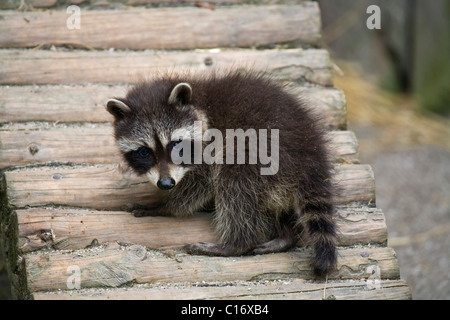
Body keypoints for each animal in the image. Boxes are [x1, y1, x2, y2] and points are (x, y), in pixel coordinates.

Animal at [105, 70, 338, 278]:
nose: (166, 184)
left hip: (261, 152)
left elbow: (198, 188)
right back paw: (286, 235)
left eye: (176, 144)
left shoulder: (210, 147)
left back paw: (235, 244)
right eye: (144, 152)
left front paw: (164, 207)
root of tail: (310, 155)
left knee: (234, 185)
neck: (200, 104)